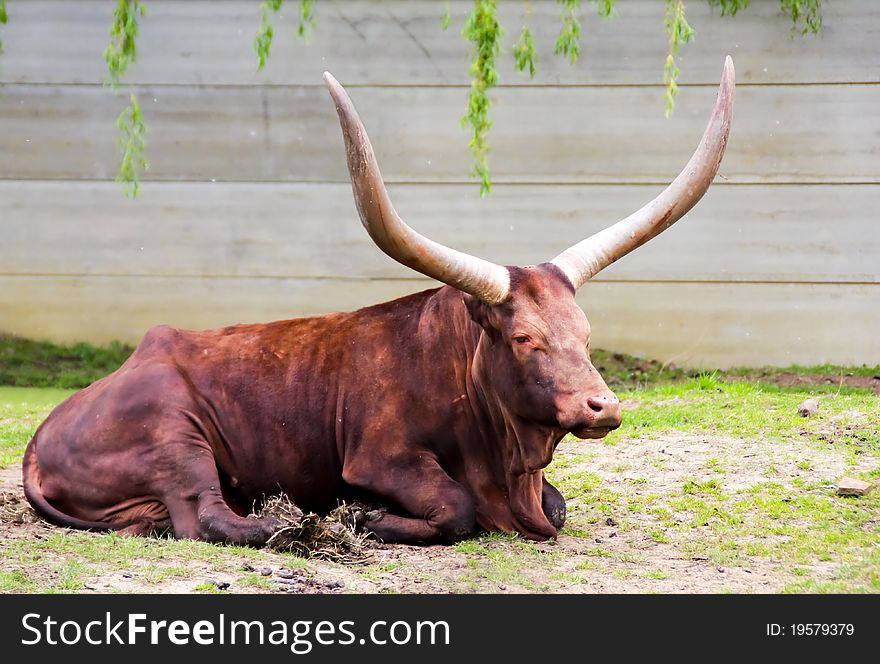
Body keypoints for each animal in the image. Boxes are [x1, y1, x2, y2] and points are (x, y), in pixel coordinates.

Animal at [22, 58, 736, 544]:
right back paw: (301, 526)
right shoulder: (380, 456)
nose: (603, 407)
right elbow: (457, 509)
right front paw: (366, 515)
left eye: (586, 335)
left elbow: (556, 507)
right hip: (176, 435)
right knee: (209, 517)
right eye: (524, 338)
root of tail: (44, 435)